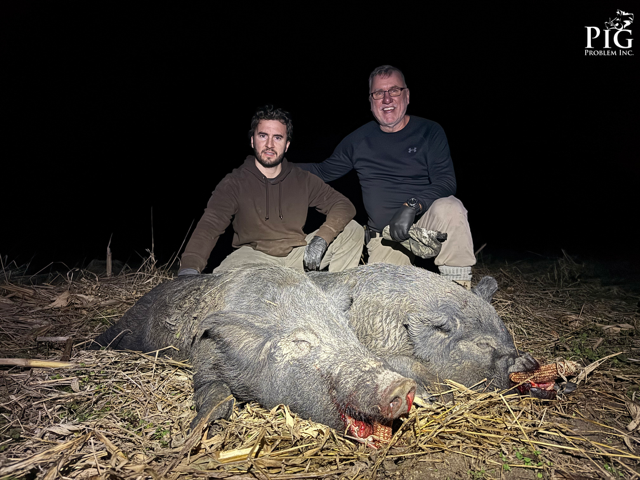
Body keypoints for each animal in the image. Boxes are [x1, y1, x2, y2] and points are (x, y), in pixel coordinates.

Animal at [89, 264, 416, 444]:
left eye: (347, 330)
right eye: (301, 342)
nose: (401, 385)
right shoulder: (204, 357)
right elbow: (215, 393)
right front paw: (193, 434)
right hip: (125, 328)